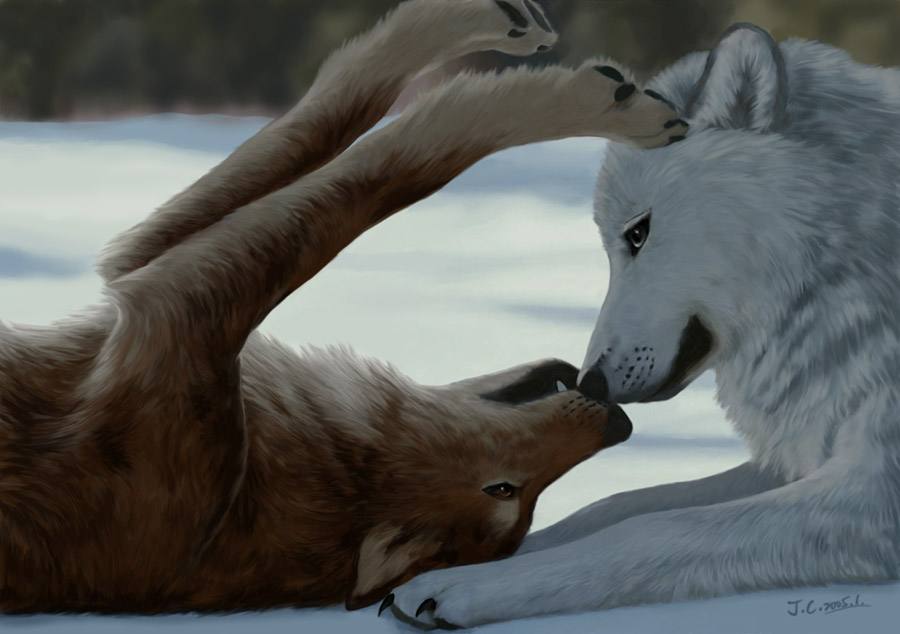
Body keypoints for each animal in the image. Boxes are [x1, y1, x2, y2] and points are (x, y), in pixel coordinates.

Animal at [0, 0, 685, 614]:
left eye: (520, 499)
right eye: (503, 489)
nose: (618, 424)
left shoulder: (164, 298)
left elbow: (383, 169)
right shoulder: (161, 301)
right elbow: (374, 161)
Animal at [391, 22, 900, 628]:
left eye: (638, 233)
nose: (588, 383)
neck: (848, 270)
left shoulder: (875, 488)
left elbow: (651, 529)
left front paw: (460, 585)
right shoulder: (800, 457)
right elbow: (615, 504)